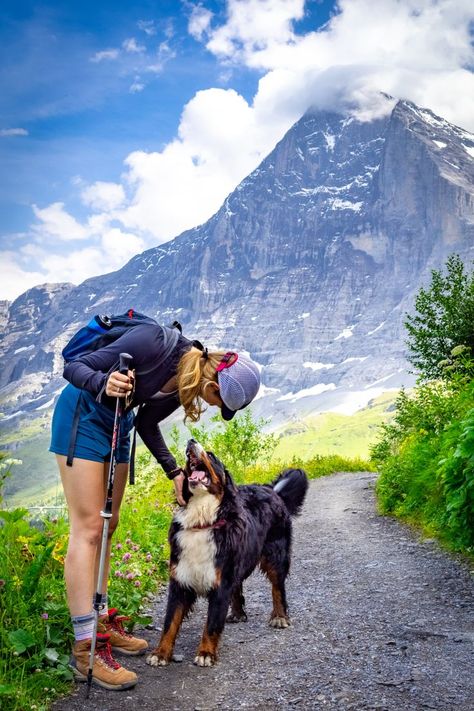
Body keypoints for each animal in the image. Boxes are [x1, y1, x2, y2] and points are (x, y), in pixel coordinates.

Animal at [146, 440, 310, 668]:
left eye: (211, 455)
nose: (191, 441)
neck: (203, 521)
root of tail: (271, 490)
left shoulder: (220, 581)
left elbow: (212, 623)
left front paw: (206, 653)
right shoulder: (181, 579)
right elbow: (170, 622)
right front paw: (160, 653)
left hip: (276, 555)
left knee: (278, 588)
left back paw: (279, 616)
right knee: (238, 587)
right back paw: (238, 613)